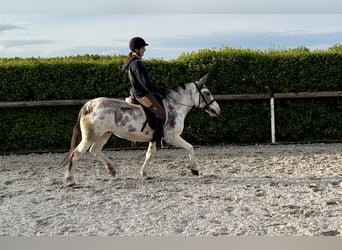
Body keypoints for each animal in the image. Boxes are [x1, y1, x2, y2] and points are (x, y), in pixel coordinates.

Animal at [60, 73, 222, 185]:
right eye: (207, 93)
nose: (217, 110)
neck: (174, 105)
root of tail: (87, 106)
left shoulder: (155, 138)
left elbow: (149, 154)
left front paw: (144, 174)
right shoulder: (172, 137)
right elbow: (190, 147)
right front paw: (195, 169)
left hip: (104, 134)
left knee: (95, 150)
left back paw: (111, 169)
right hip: (91, 136)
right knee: (77, 153)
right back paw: (70, 180)